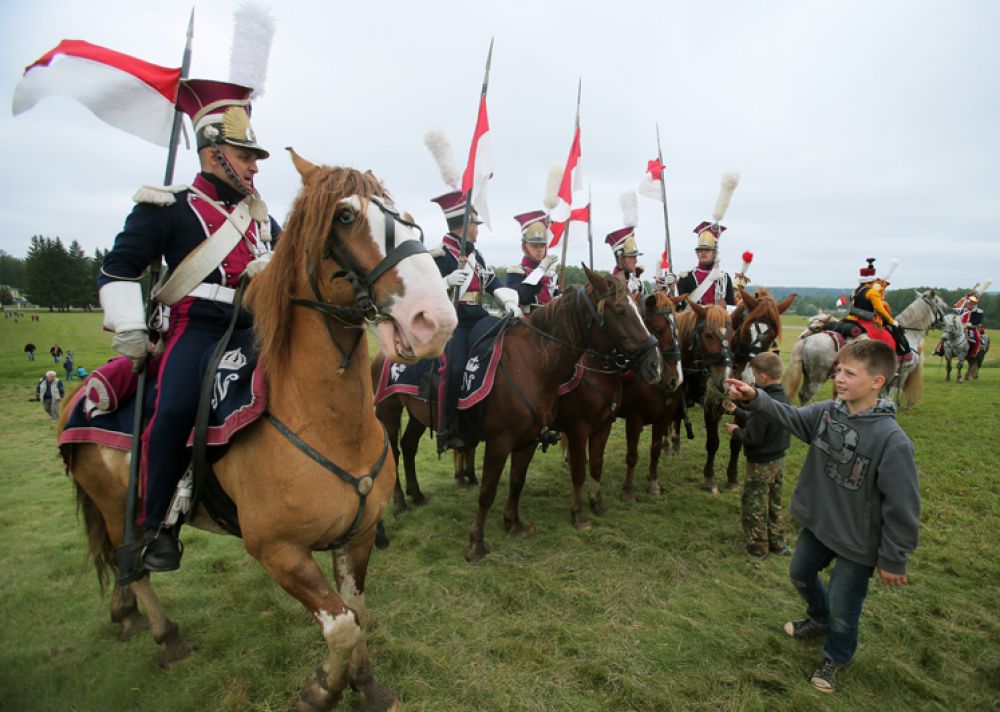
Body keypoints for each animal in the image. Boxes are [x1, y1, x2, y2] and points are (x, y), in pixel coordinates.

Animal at [56, 157, 456, 712]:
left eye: (408, 218)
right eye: (346, 217)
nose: (432, 321)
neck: (325, 422)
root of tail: (82, 392)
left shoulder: (356, 538)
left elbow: (356, 613)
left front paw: (367, 685)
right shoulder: (278, 551)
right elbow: (341, 626)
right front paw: (321, 689)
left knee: (121, 567)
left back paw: (127, 616)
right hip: (117, 506)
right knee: (130, 562)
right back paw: (166, 635)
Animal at [372, 268, 660, 560]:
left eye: (640, 311)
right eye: (620, 311)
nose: (654, 364)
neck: (533, 364)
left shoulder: (535, 438)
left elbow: (518, 481)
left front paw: (514, 524)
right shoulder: (511, 440)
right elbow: (490, 491)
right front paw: (477, 543)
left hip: (417, 416)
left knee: (409, 446)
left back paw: (417, 495)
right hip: (389, 413)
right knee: (394, 452)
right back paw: (400, 503)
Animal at [784, 290, 948, 408]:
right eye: (939, 305)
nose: (946, 323)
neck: (908, 335)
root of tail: (806, 341)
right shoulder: (901, 374)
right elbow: (890, 396)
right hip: (817, 378)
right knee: (806, 395)